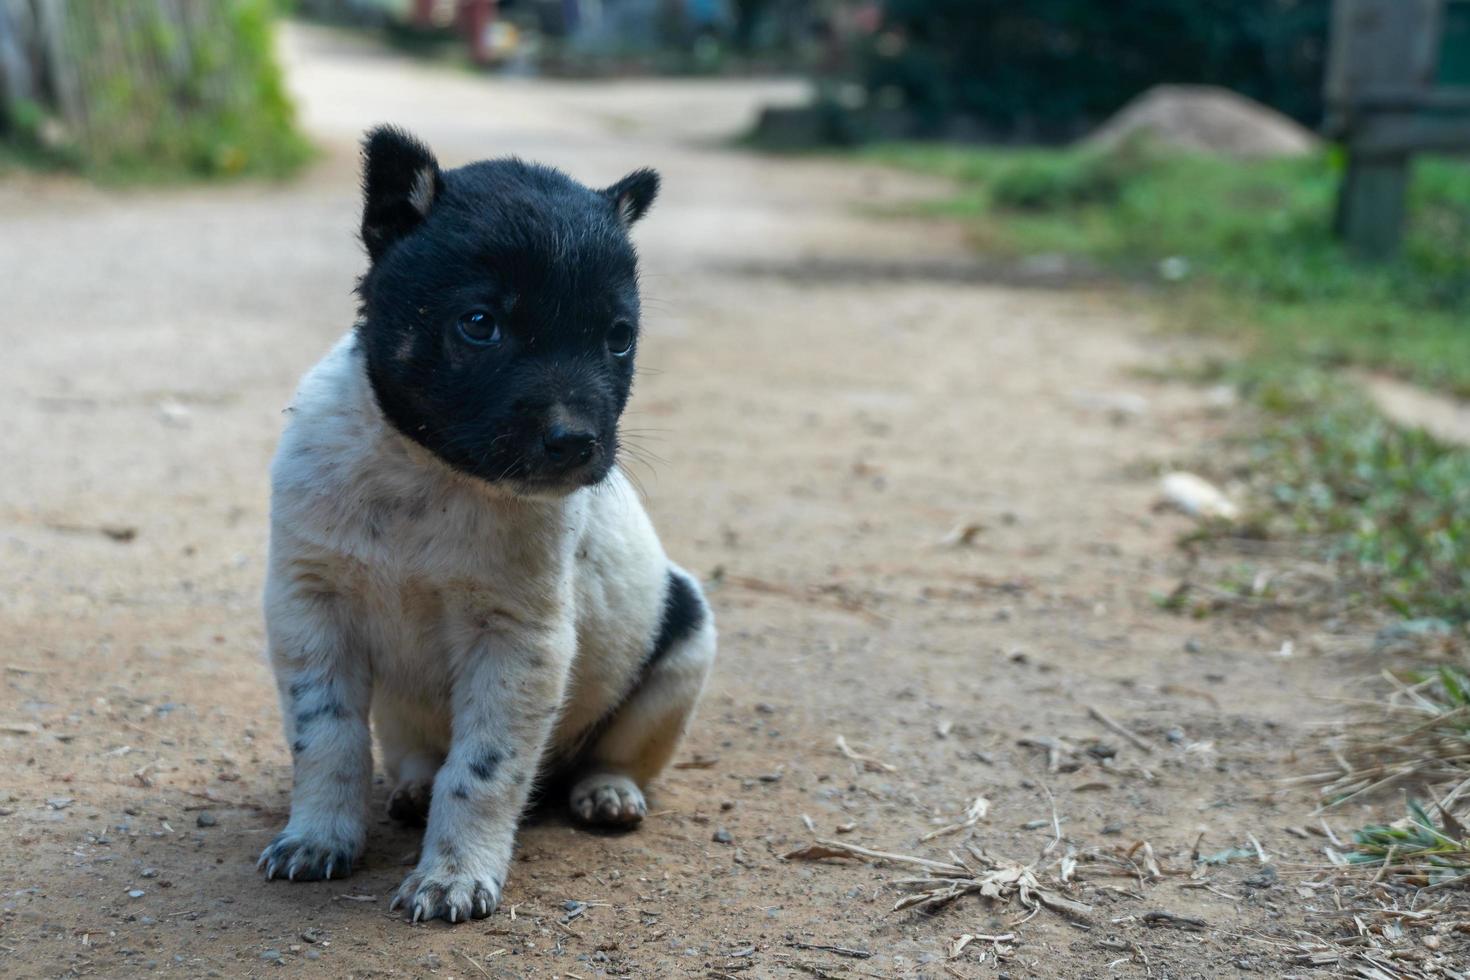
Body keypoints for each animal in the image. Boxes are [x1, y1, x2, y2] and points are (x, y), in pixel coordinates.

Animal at [258, 126, 717, 922]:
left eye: (619, 338)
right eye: (480, 325)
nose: (574, 442)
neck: (425, 474)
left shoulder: (517, 642)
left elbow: (483, 770)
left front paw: (452, 875)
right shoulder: (309, 607)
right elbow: (327, 739)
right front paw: (318, 836)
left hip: (682, 652)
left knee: (615, 756)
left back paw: (607, 791)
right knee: (412, 751)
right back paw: (412, 785)